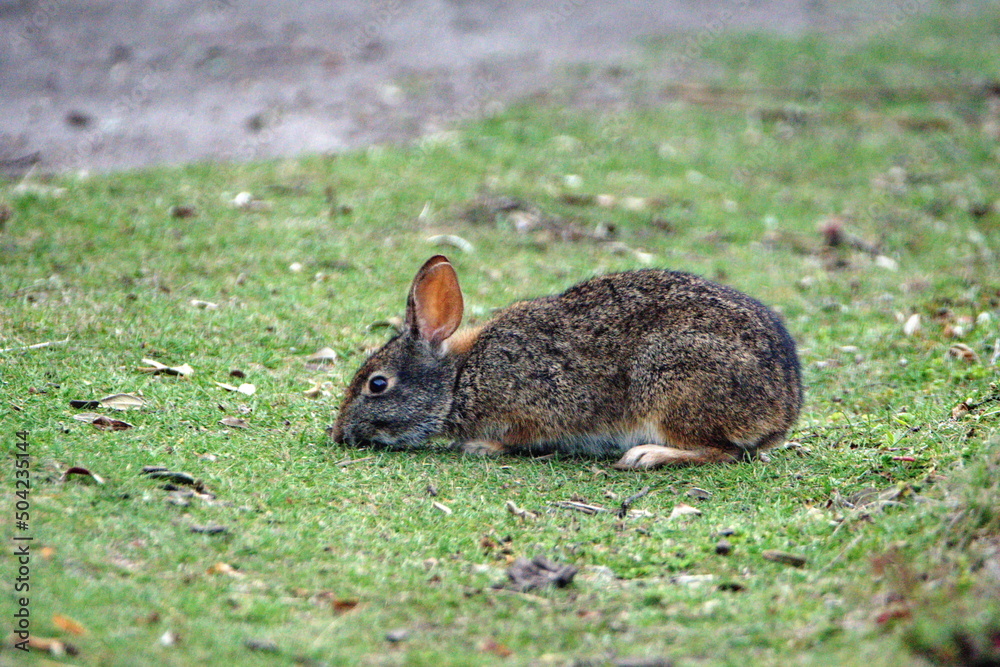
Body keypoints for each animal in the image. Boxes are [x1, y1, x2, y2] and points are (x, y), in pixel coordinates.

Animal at [332, 255, 802, 469]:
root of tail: (785, 406)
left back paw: (647, 455)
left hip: (673, 385)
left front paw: (481, 446)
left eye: (377, 384)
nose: (338, 435)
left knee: (721, 450)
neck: (460, 378)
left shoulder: (533, 405)